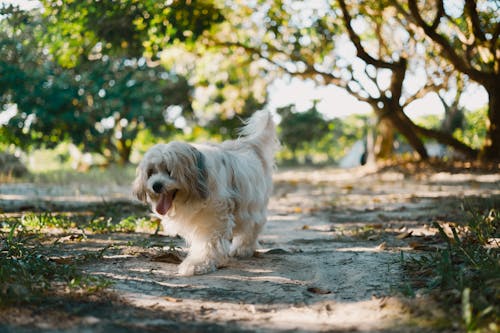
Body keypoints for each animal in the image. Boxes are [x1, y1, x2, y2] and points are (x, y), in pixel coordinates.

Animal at [133, 111, 280, 274]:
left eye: (169, 171)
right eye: (151, 172)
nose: (156, 185)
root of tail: (249, 144)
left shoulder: (214, 217)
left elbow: (208, 242)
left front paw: (198, 263)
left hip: (252, 204)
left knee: (253, 225)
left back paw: (243, 248)